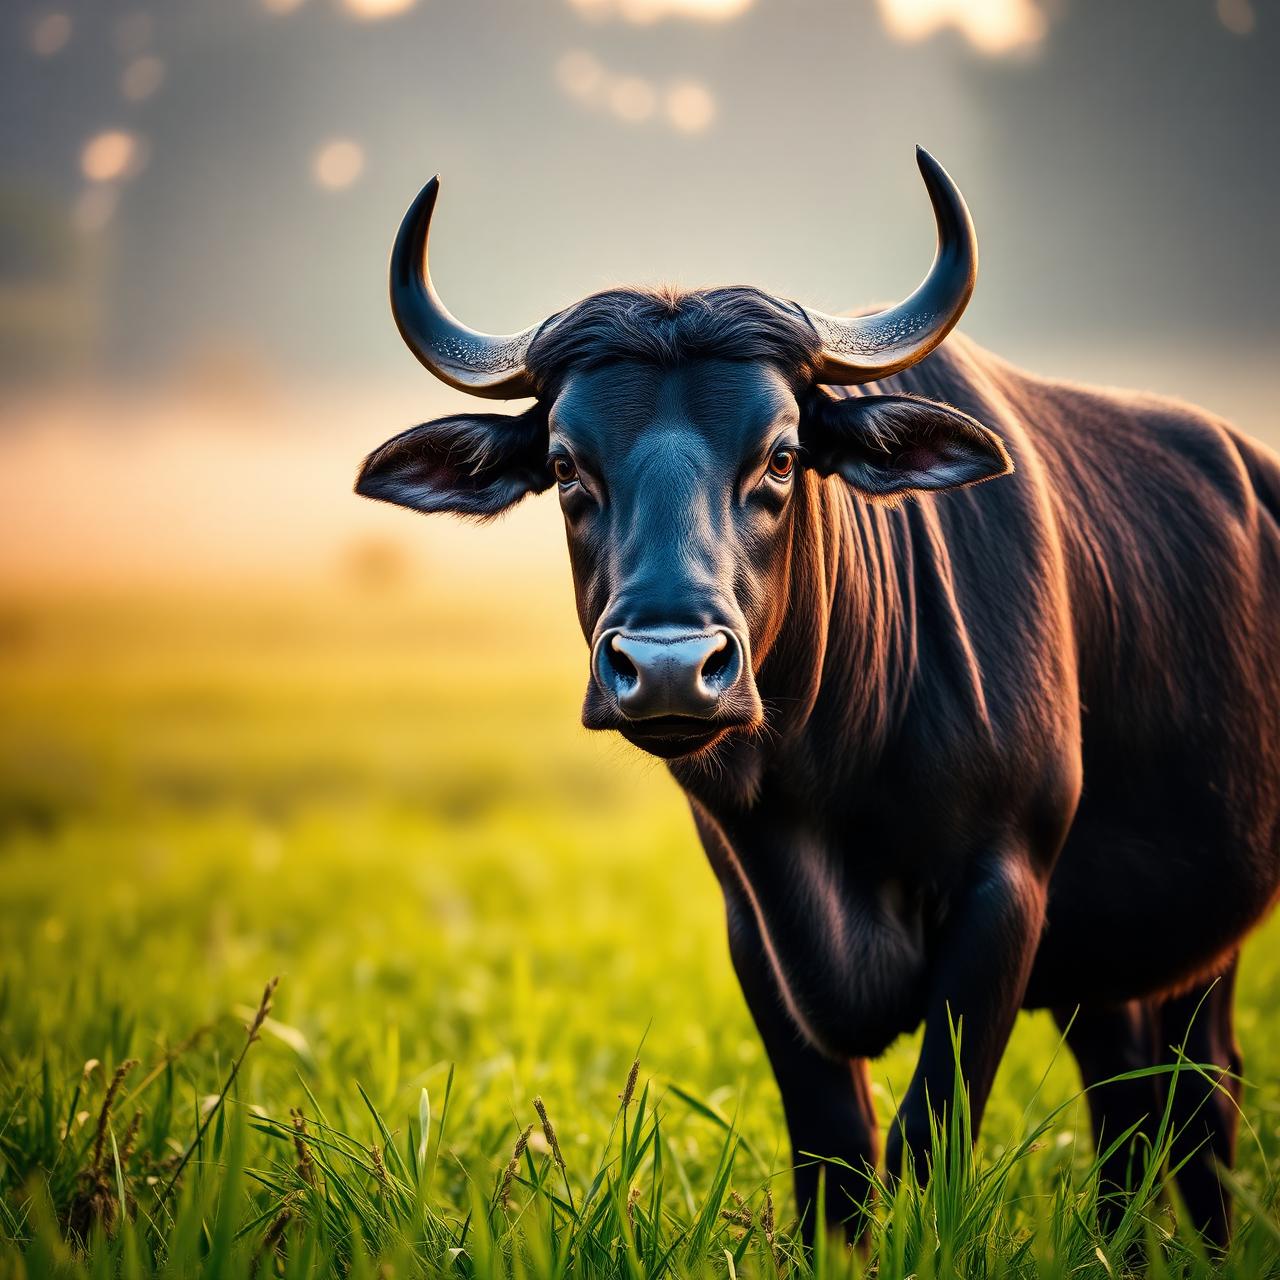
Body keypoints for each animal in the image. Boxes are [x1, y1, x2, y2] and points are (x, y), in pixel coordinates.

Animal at [356, 149, 1280, 1246]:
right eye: (565, 466)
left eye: (783, 456)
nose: (668, 666)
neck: (829, 771)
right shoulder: (755, 922)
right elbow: (834, 1150)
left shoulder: (1004, 889)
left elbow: (929, 1135)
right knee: (1133, 1097)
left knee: (1197, 1098)